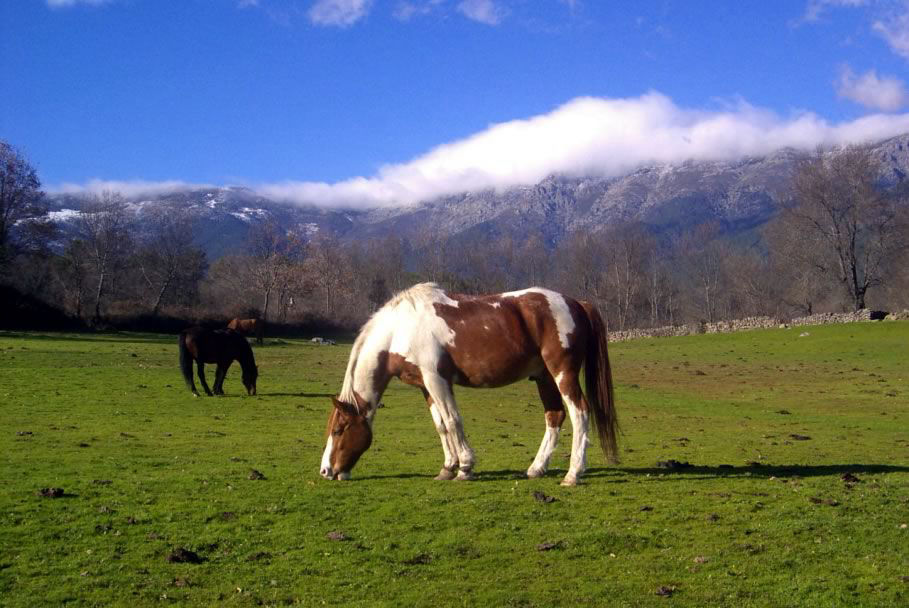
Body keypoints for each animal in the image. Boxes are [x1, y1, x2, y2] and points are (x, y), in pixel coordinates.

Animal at [320, 282, 616, 486]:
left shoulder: (437, 380)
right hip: (544, 378)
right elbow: (441, 425)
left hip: (562, 374)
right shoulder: (426, 386)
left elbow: (453, 421)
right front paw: (447, 468)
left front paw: (464, 468)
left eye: (338, 430)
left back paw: (573, 474)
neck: (400, 330)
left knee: (580, 413)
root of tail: (576, 302)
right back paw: (536, 468)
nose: (326, 471)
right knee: (555, 416)